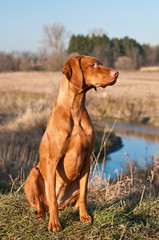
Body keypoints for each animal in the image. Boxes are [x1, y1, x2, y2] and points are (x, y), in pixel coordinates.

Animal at [24, 55, 118, 232]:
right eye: (92, 65)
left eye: (101, 64)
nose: (117, 73)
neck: (75, 108)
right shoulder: (52, 161)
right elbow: (53, 200)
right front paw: (54, 224)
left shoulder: (87, 159)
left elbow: (84, 195)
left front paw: (84, 216)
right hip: (34, 173)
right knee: (43, 203)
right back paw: (41, 213)